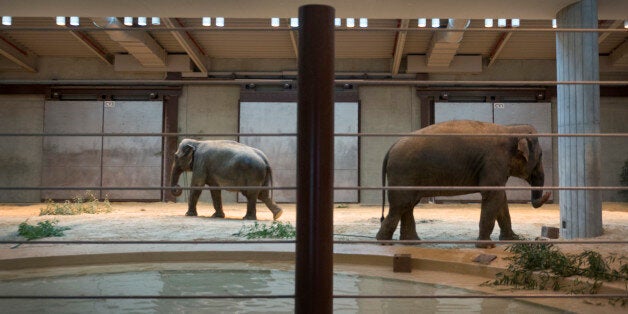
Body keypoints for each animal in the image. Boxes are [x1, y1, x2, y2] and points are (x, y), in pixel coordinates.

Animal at [378, 120, 548, 248]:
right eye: (540, 156)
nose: (548, 193)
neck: (510, 129)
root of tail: (391, 148)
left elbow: (500, 198)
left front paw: (514, 240)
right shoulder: (494, 161)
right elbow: (492, 194)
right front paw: (487, 246)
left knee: (408, 205)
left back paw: (412, 242)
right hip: (403, 173)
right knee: (401, 204)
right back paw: (384, 243)